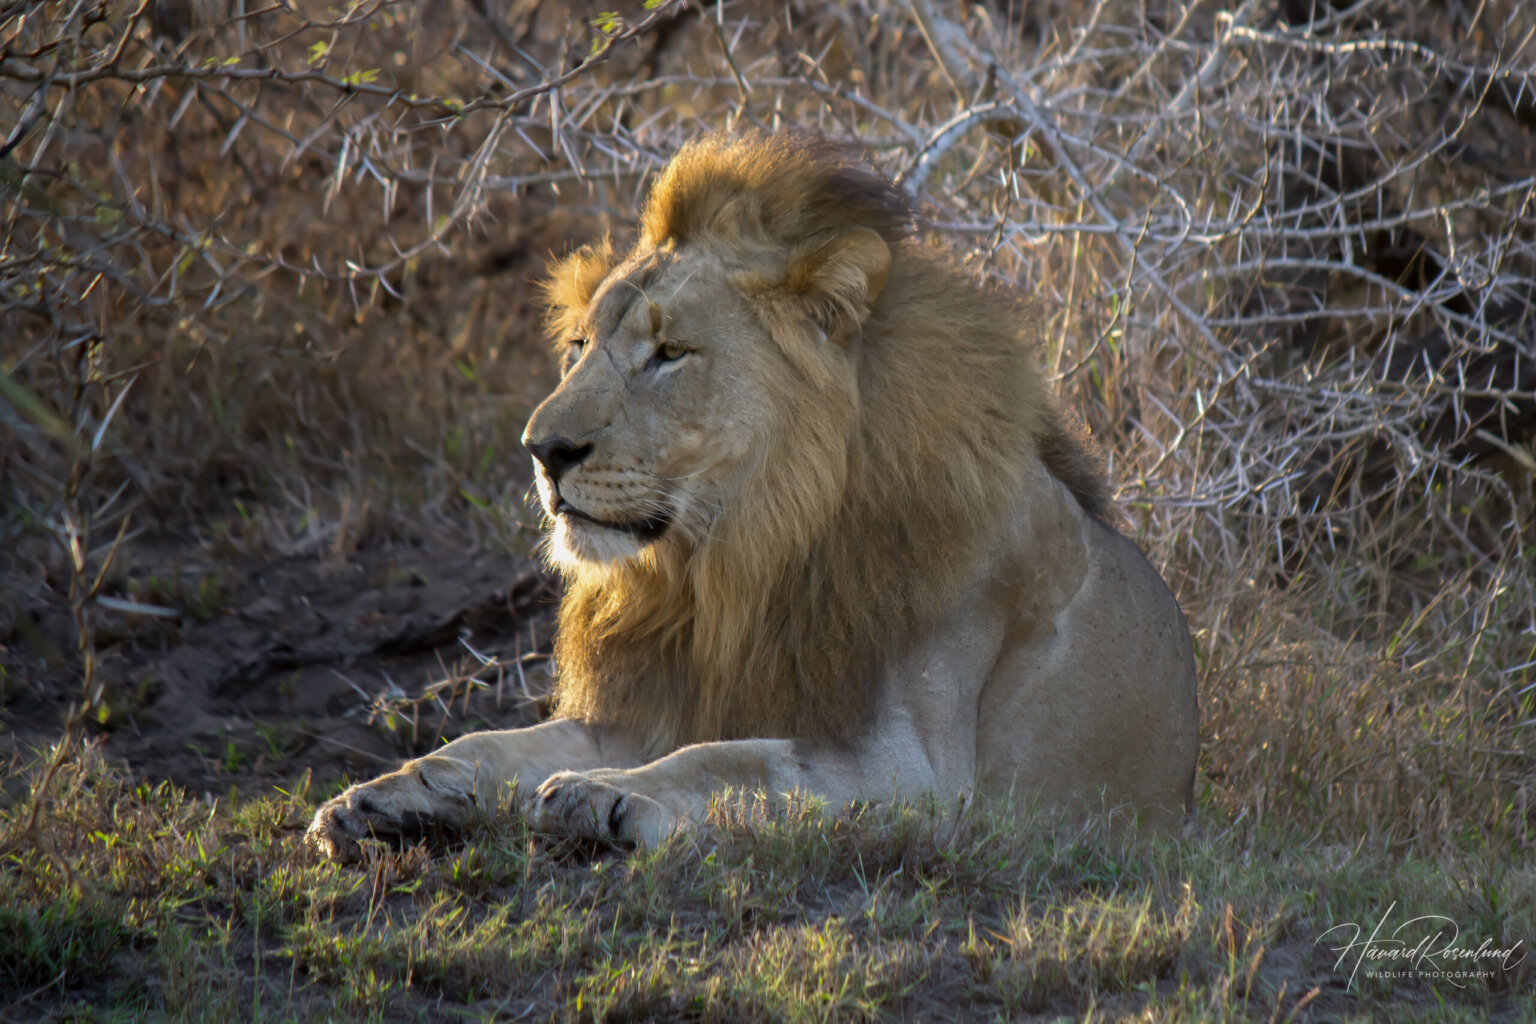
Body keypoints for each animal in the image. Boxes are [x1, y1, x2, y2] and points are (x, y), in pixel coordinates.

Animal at [306, 132, 1199, 861]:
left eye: (670, 353)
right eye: (577, 347)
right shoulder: (649, 707)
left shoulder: (918, 770)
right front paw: (393, 794)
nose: (542, 451)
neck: (743, 560)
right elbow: (498, 743)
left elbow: (735, 759)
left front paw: (608, 795)